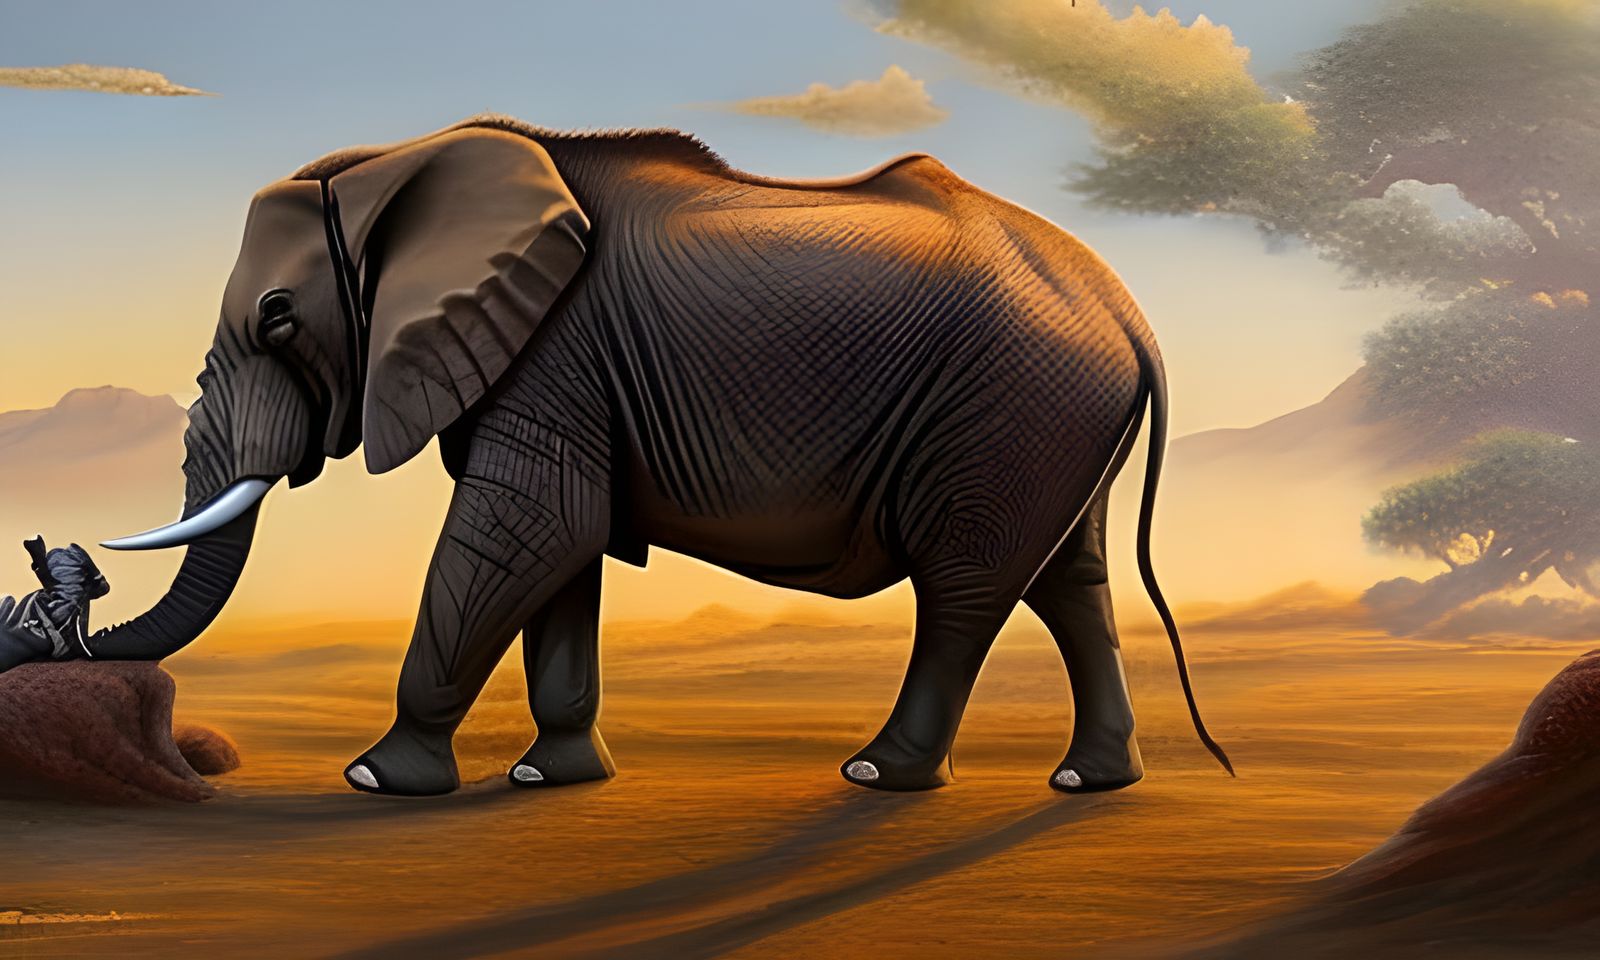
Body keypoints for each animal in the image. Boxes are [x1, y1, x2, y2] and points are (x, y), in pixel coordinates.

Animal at [89, 114, 1232, 796]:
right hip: (1053, 422)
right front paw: (550, 778)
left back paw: (877, 775)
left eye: (280, 318)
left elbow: (530, 532)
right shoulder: (562, 371)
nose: (71, 587)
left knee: (966, 592)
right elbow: (562, 557)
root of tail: (1131, 318)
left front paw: (375, 780)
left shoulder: (553, 353)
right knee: (1072, 581)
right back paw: (1090, 782)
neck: (406, 162)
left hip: (1006, 411)